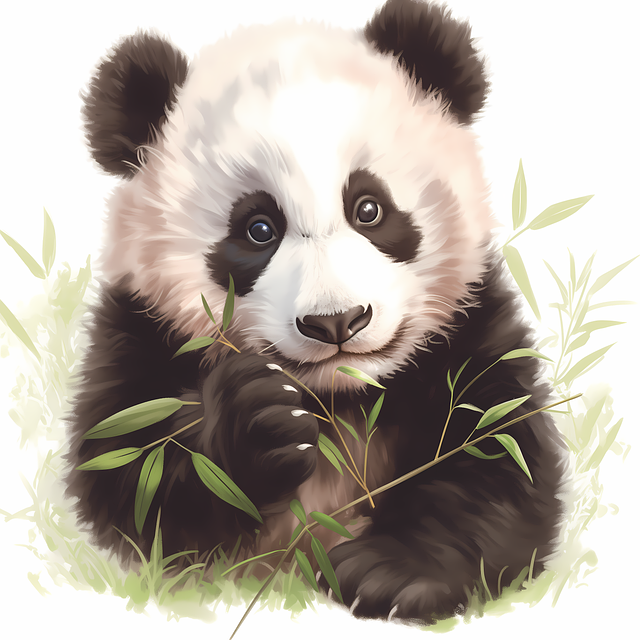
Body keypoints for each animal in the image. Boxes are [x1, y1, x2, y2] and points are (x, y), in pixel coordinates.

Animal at [66, 0, 568, 623]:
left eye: (369, 208)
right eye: (258, 228)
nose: (336, 321)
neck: (340, 397)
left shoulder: (469, 321)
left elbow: (497, 449)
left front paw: (390, 572)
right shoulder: (140, 331)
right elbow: (133, 480)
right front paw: (259, 421)